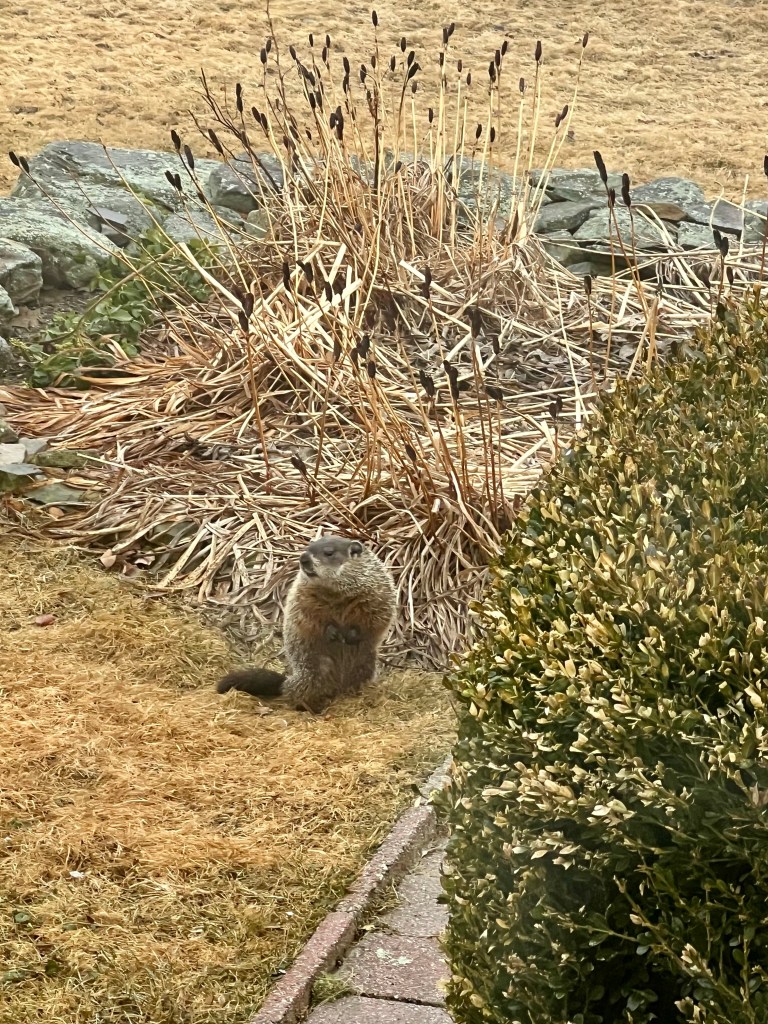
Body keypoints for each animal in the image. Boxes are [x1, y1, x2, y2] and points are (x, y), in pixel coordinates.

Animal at [216, 535, 397, 713]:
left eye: (329, 552)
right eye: (308, 546)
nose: (303, 559)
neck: (336, 592)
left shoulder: (374, 589)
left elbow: (376, 613)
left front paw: (352, 634)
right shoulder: (304, 593)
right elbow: (308, 615)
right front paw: (332, 631)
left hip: (365, 666)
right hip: (311, 672)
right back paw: (309, 707)